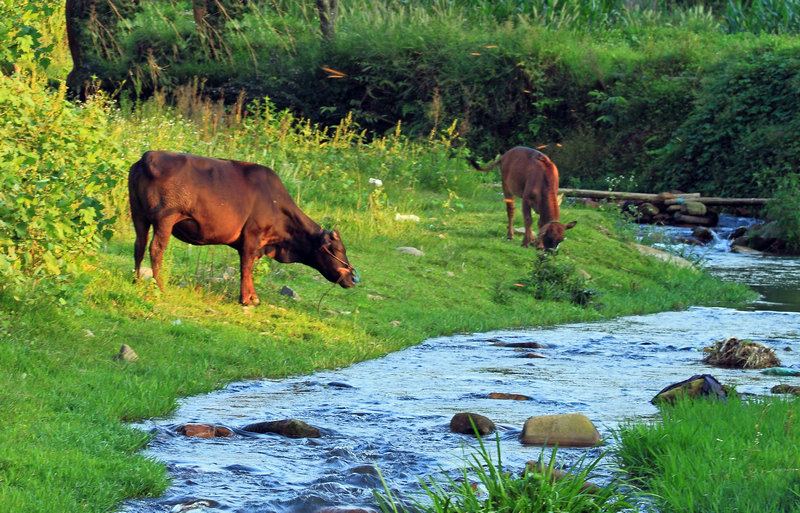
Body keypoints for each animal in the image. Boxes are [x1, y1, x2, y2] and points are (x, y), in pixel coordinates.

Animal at [128, 152, 360, 304]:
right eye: (338, 249)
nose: (353, 278)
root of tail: (149, 156)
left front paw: (252, 296)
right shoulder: (252, 237)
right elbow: (246, 268)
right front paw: (247, 299)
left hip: (138, 214)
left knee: (139, 245)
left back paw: (136, 280)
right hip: (165, 218)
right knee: (156, 249)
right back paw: (159, 286)